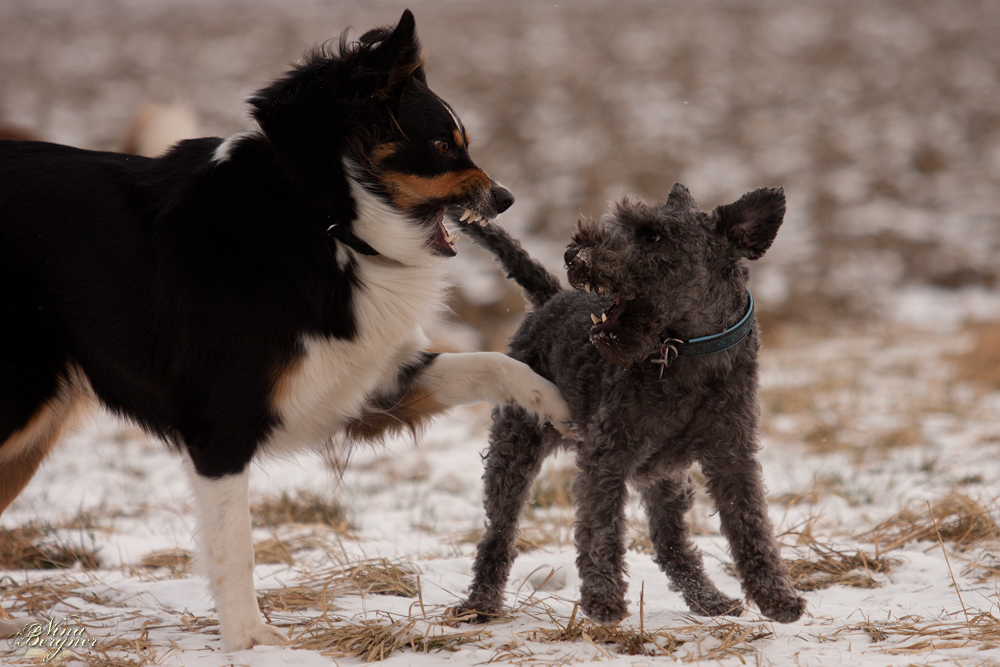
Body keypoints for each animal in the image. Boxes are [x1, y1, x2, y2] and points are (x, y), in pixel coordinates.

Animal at [0, 10, 572, 648]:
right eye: (443, 144)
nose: (505, 197)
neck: (324, 222)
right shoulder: (222, 426)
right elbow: (235, 545)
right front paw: (251, 641)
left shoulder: (365, 384)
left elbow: (490, 363)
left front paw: (559, 403)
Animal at [454, 183, 804, 628]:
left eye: (653, 235)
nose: (573, 253)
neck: (687, 353)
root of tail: (550, 298)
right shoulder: (607, 456)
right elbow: (600, 530)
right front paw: (602, 600)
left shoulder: (733, 455)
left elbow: (751, 525)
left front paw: (777, 597)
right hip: (514, 447)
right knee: (498, 532)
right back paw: (480, 603)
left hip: (665, 477)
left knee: (670, 543)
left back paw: (709, 600)